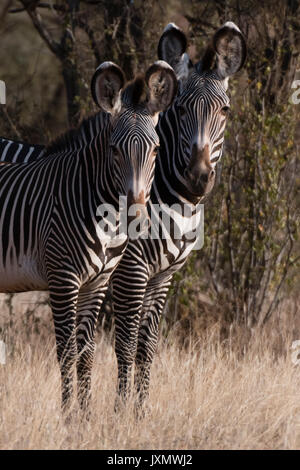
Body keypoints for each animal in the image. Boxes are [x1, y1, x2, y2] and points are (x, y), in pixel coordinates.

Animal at [0, 59, 177, 414]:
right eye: (114, 150)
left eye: (156, 150)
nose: (137, 218)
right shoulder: (63, 278)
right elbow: (67, 352)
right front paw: (68, 416)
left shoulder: (96, 284)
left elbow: (87, 353)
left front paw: (84, 416)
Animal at [109, 22, 247, 414]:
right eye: (182, 109)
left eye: (225, 110)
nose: (198, 177)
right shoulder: (130, 271)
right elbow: (126, 344)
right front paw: (119, 414)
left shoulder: (162, 277)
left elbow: (148, 346)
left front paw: (139, 413)